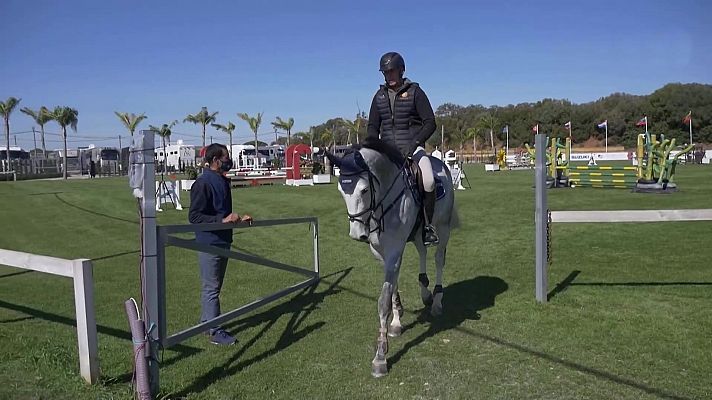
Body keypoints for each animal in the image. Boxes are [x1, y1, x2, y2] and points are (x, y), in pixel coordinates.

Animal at [324, 138, 456, 378]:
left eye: (364, 189)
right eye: (341, 190)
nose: (356, 234)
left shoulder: (395, 249)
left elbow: (383, 300)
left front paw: (380, 357)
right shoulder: (381, 252)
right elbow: (393, 284)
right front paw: (396, 321)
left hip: (443, 229)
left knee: (439, 259)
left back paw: (437, 301)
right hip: (417, 234)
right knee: (422, 251)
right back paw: (425, 292)